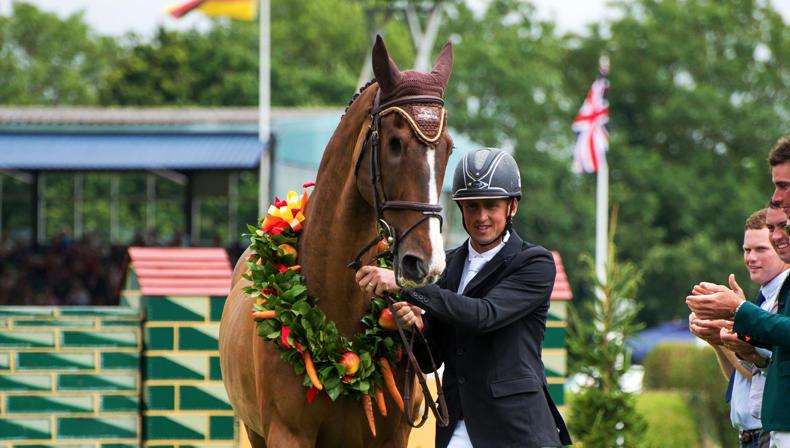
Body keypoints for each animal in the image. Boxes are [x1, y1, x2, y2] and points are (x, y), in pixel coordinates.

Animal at [219, 35, 454, 447]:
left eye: (449, 148)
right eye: (394, 143)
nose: (427, 263)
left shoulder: (391, 439)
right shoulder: (287, 434)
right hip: (254, 430)